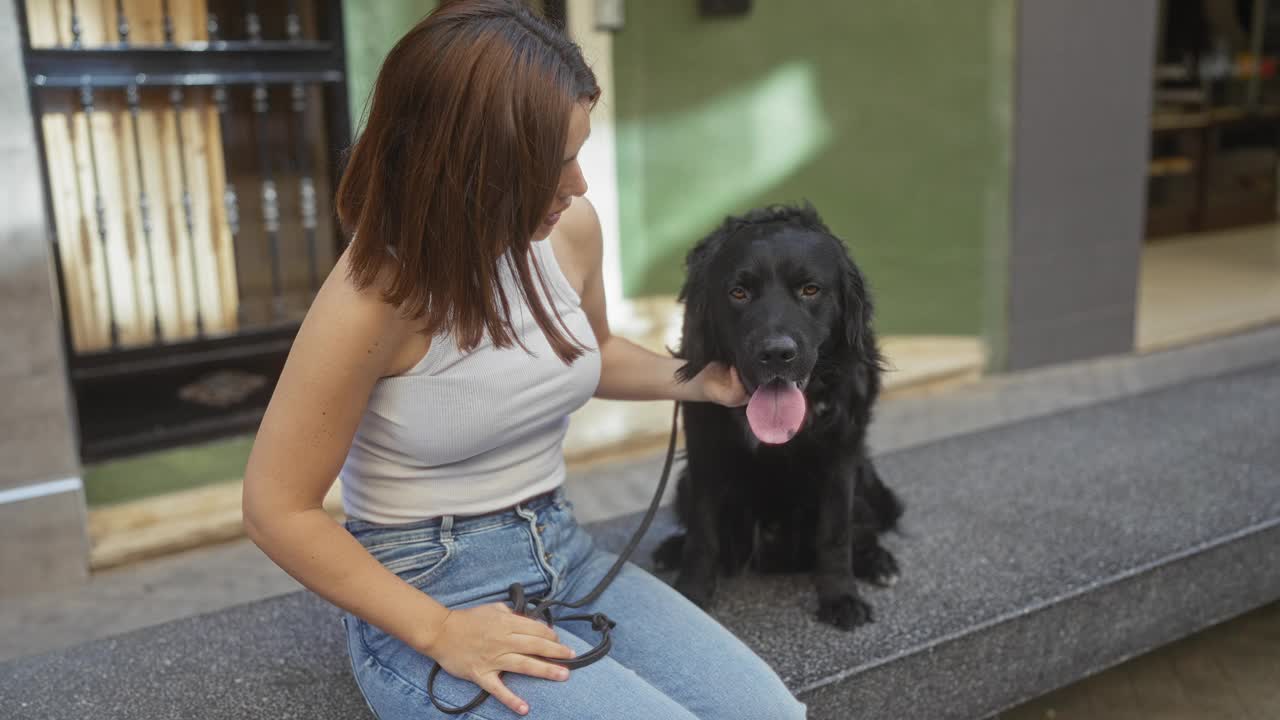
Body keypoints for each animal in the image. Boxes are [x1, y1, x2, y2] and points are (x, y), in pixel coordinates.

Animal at [655, 202, 906, 627]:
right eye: (739, 293)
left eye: (810, 289)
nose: (776, 353)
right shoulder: (704, 445)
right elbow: (703, 533)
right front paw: (692, 592)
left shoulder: (842, 452)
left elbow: (836, 532)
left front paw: (840, 596)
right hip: (684, 482)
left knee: (865, 525)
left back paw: (878, 561)